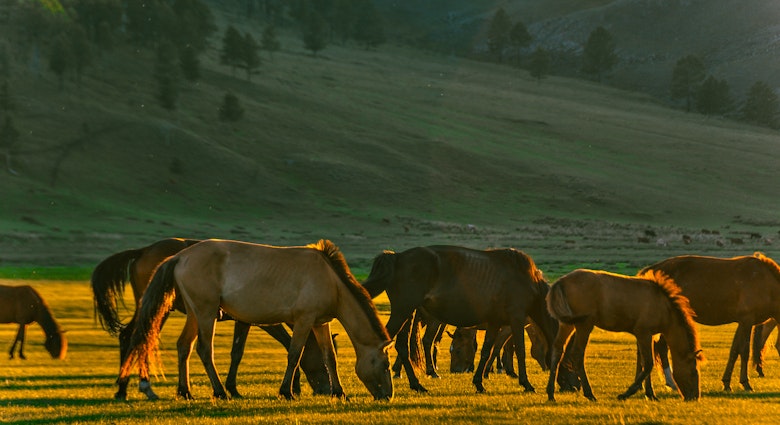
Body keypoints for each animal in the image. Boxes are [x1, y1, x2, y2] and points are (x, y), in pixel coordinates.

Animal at [91, 237, 331, 400]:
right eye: (322, 360)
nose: (326, 389)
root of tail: (142, 251)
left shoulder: (246, 319)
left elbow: (238, 352)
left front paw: (233, 388)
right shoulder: (259, 319)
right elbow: (274, 346)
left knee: (129, 336)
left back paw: (123, 388)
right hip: (161, 309)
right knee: (140, 338)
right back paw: (143, 386)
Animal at [119, 239, 394, 401]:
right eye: (386, 365)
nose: (387, 396)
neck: (329, 279)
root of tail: (180, 256)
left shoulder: (320, 323)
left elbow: (330, 357)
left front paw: (339, 392)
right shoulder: (304, 320)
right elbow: (294, 354)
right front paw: (287, 392)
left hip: (195, 313)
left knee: (184, 346)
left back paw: (185, 392)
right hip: (207, 313)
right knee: (204, 349)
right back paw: (220, 392)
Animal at [362, 245, 557, 393]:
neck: (527, 281)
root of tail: (397, 257)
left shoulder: (495, 322)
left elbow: (487, 350)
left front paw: (479, 382)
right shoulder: (516, 319)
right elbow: (519, 350)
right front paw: (526, 383)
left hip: (407, 314)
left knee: (403, 347)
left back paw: (416, 384)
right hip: (404, 312)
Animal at [545, 269, 702, 402]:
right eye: (693, 372)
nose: (694, 397)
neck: (663, 307)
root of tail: (561, 281)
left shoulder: (648, 336)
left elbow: (644, 363)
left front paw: (650, 394)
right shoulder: (643, 333)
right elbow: (648, 364)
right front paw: (627, 393)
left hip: (567, 324)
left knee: (557, 349)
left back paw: (551, 393)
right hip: (584, 325)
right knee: (577, 354)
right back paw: (589, 393)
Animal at [640, 252, 780, 392]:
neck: (765, 282)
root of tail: (649, 271)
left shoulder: (742, 323)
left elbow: (734, 351)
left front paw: (726, 383)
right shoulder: (747, 320)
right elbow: (744, 351)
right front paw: (745, 383)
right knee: (659, 350)